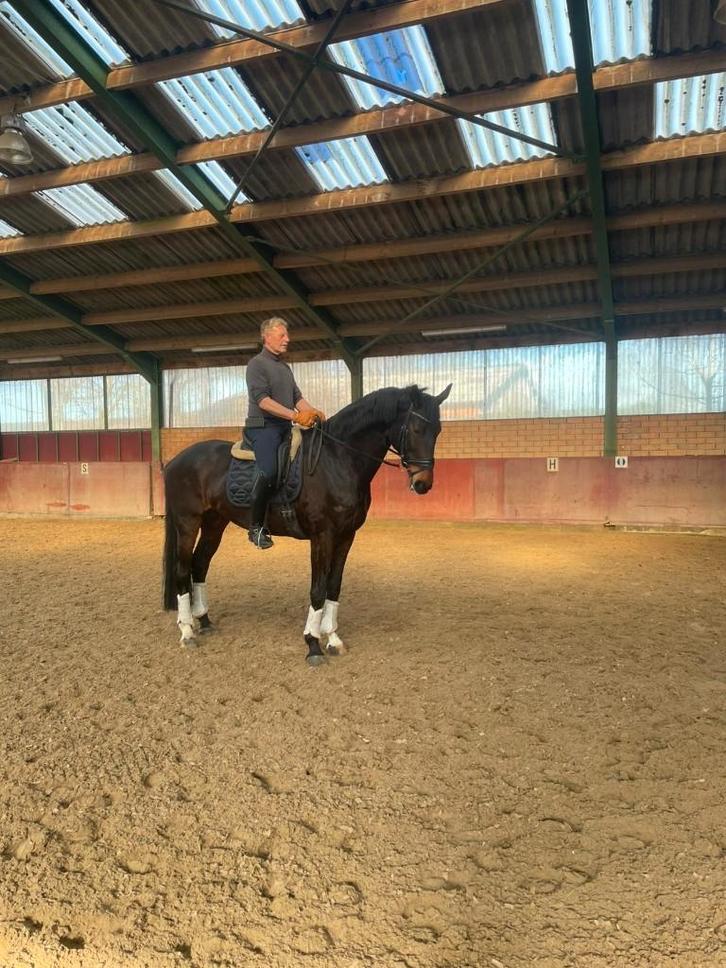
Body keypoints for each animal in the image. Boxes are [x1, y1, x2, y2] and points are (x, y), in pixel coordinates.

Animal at [162, 383, 452, 664]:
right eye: (416, 429)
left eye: (437, 431)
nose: (423, 484)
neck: (338, 460)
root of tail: (175, 461)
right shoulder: (323, 535)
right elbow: (318, 589)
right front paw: (313, 644)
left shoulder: (347, 535)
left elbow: (334, 585)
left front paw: (332, 638)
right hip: (188, 523)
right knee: (182, 570)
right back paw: (187, 631)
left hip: (215, 523)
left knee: (199, 565)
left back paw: (204, 621)